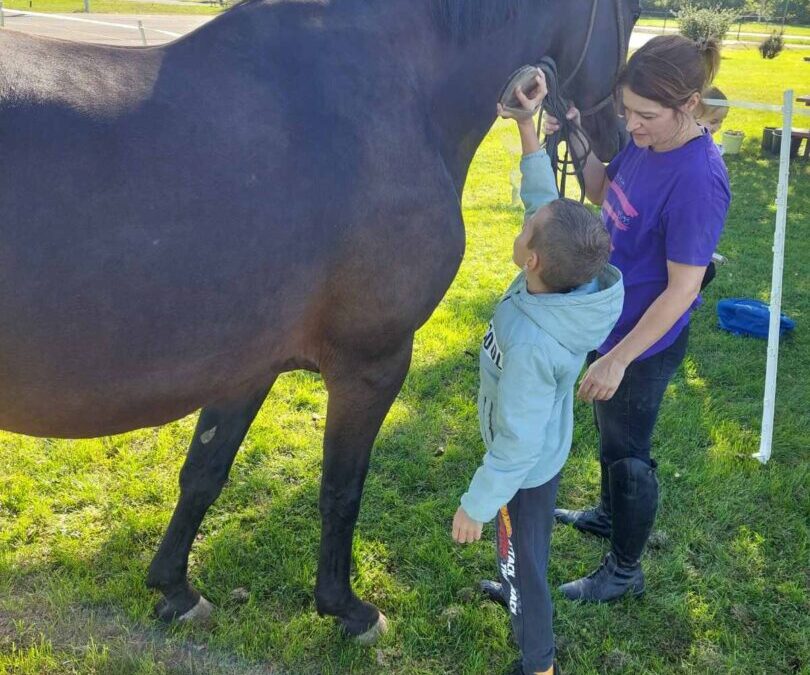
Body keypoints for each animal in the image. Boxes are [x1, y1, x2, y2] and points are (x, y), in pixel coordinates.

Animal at [1, 0, 636, 644]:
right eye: (631, 16)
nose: (616, 142)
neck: (398, 94)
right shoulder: (371, 365)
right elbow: (340, 489)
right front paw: (346, 607)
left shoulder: (246, 365)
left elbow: (204, 470)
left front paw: (174, 589)